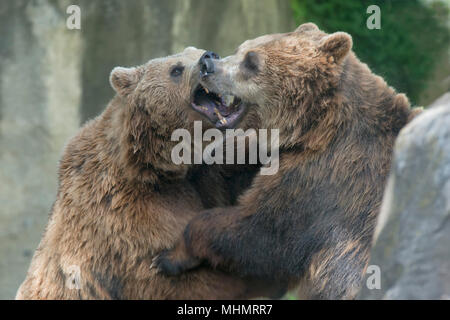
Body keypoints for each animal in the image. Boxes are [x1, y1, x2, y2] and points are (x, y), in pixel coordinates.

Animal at [14, 47, 270, 300]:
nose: (208, 56)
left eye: (195, 49)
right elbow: (167, 277)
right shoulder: (125, 213)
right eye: (176, 69)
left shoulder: (203, 176)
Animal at [155, 24, 422, 300]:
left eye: (252, 62)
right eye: (241, 48)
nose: (208, 63)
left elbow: (261, 234)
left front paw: (170, 257)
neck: (314, 129)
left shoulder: (323, 183)